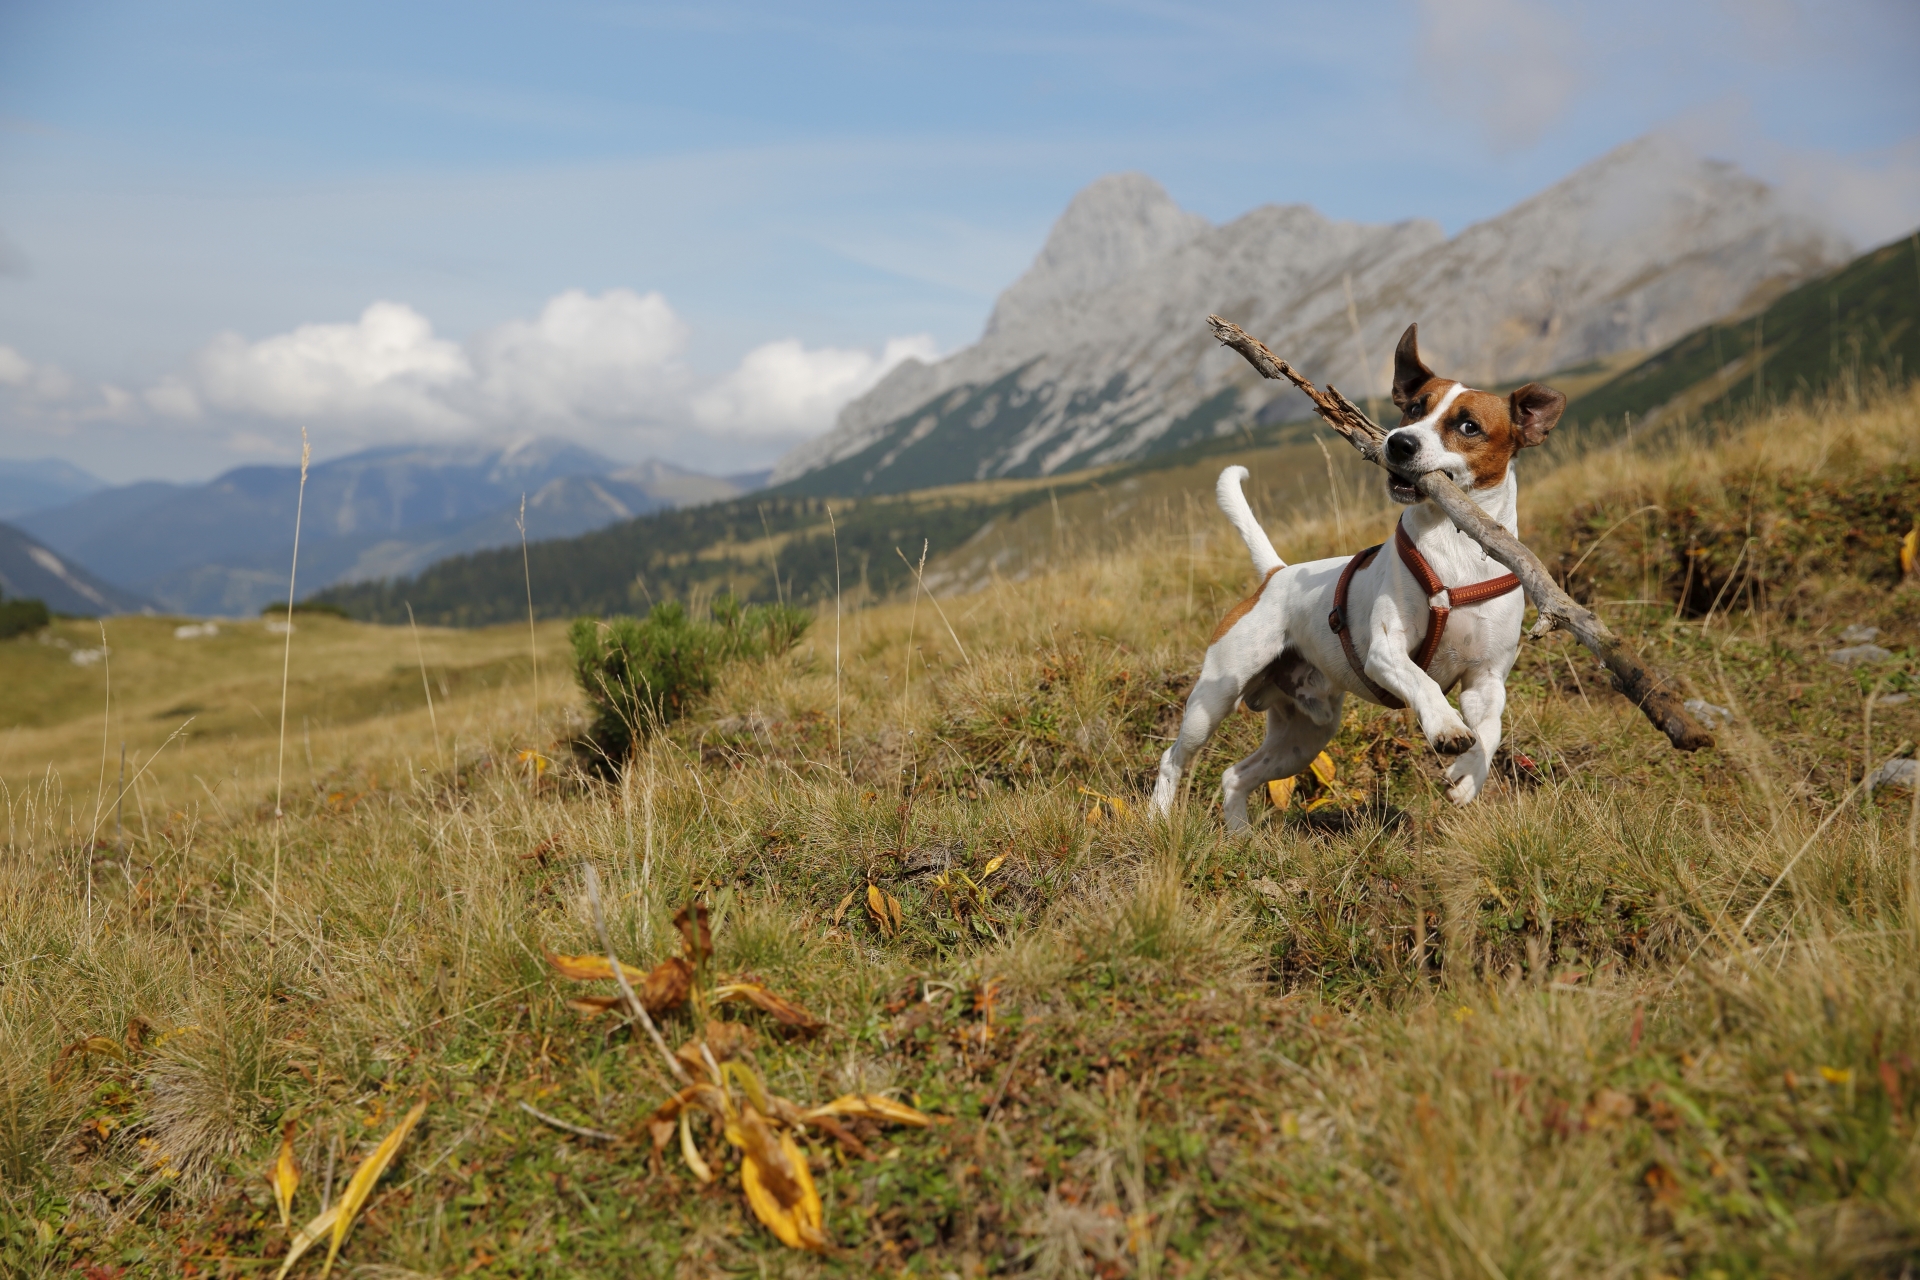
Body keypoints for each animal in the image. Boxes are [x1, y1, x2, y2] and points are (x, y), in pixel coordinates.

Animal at [1144, 322, 1566, 832]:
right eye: (1413, 407)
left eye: (1469, 426)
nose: (1399, 442)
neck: (1456, 553)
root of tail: (1276, 574)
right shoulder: (1385, 653)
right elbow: (1424, 684)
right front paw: (1445, 725)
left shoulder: (1487, 678)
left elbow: (1491, 729)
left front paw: (1469, 773)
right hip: (1215, 698)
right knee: (1173, 758)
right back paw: (1158, 818)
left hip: (1306, 735)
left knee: (1235, 775)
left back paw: (1241, 835)